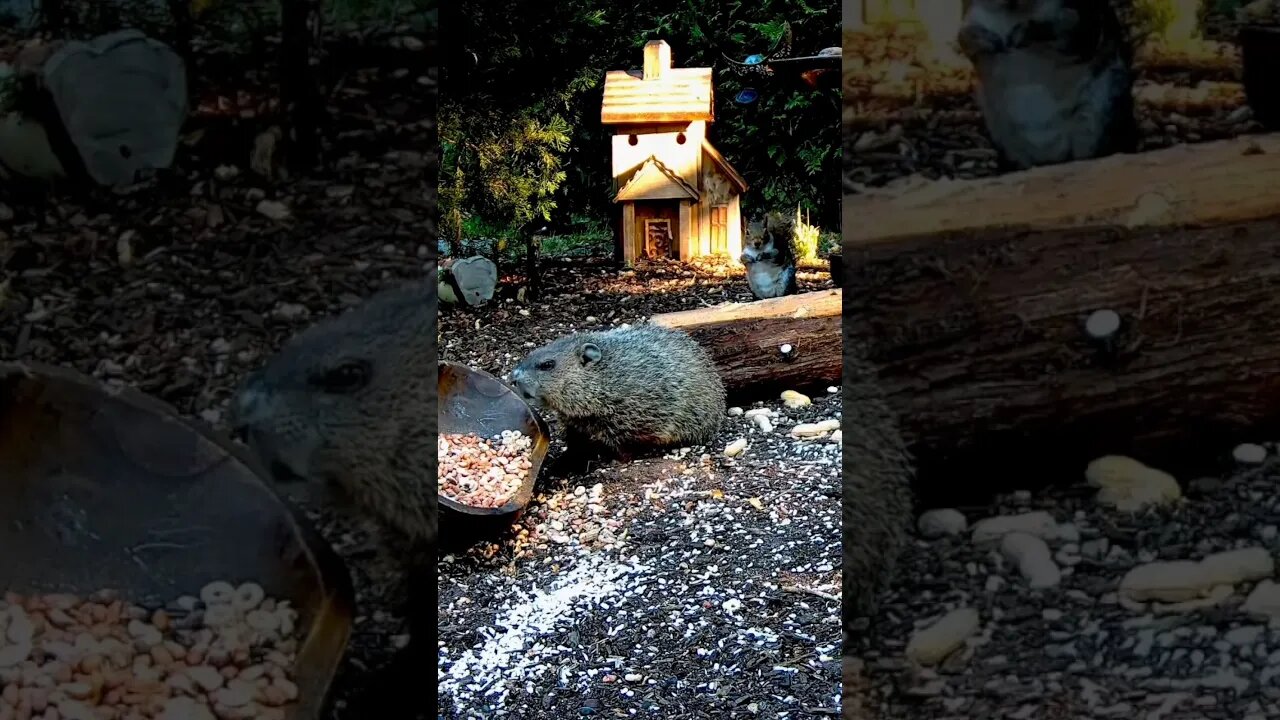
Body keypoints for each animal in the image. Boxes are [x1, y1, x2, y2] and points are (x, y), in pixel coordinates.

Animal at [957, 0, 1136, 170]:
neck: (1012, 11)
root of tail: (1052, 157)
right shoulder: (971, 12)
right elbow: (963, 37)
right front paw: (983, 39)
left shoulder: (1080, 15)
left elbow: (1068, 31)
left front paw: (1026, 31)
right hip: (999, 130)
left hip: (1100, 111)